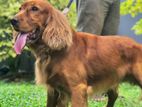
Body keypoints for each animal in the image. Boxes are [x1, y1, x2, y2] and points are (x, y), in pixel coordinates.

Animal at [10, 0, 142, 107]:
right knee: (114, 96)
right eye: (20, 9)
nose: (12, 20)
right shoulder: (53, 90)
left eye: (34, 9)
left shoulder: (78, 89)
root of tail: (137, 44)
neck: (55, 51)